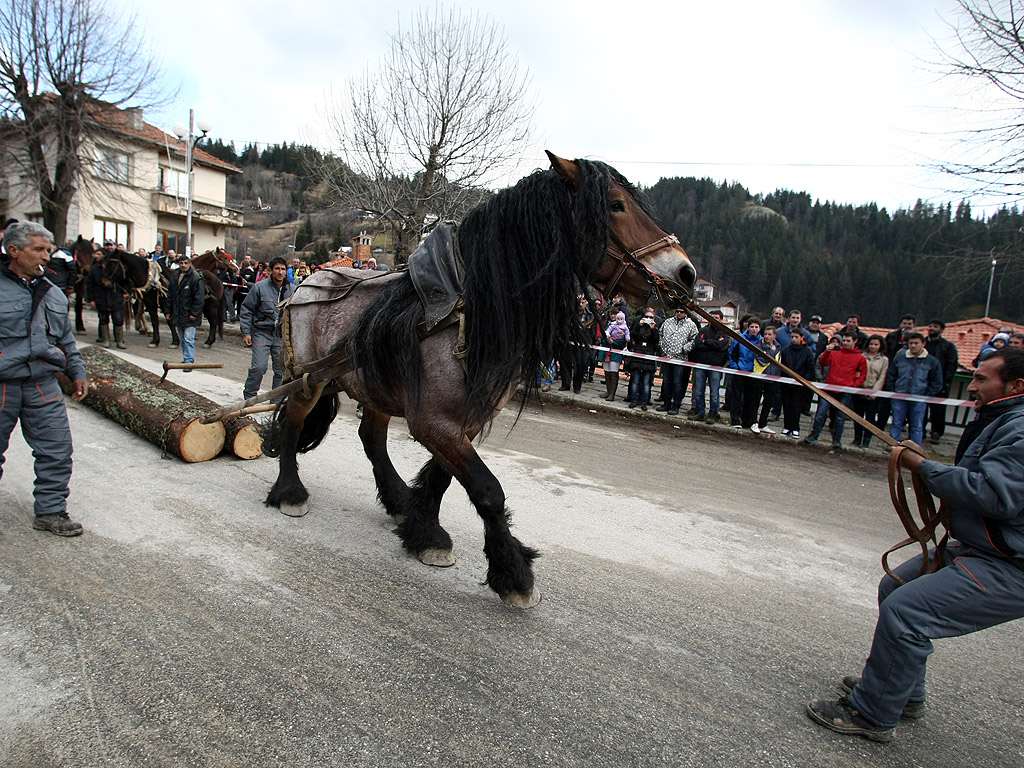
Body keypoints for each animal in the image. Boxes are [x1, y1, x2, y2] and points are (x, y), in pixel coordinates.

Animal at [260, 153, 700, 610]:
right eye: (615, 205)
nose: (686, 273)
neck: (466, 310)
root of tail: (306, 283)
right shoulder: (434, 422)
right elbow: (488, 490)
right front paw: (513, 572)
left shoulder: (464, 420)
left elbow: (444, 477)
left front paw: (424, 531)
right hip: (308, 381)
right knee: (292, 424)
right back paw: (289, 492)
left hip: (374, 388)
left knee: (373, 439)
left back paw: (396, 500)